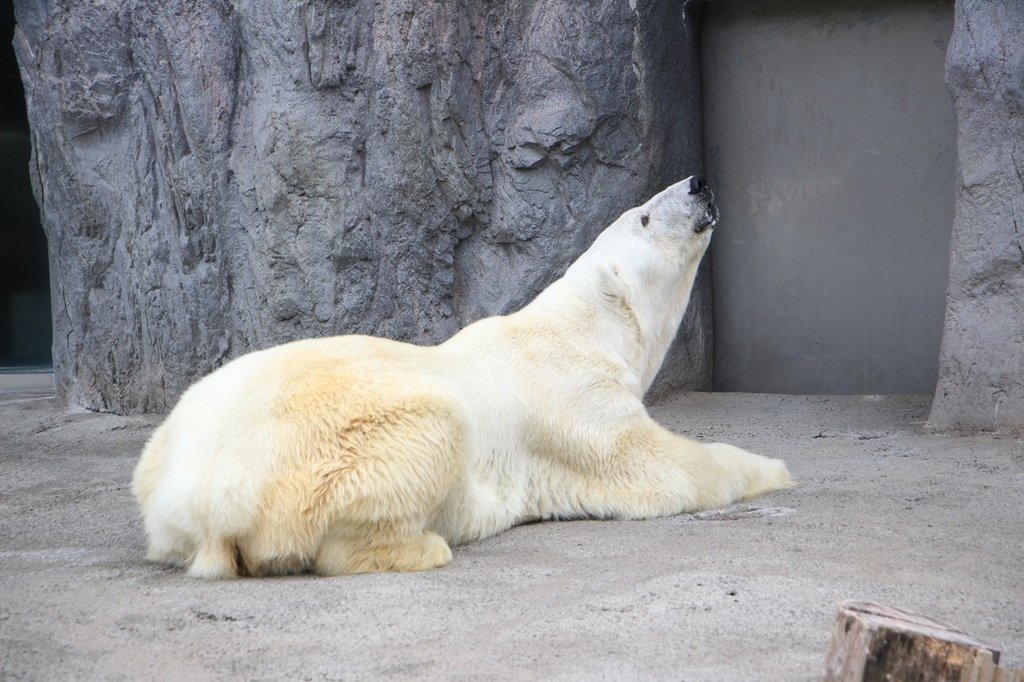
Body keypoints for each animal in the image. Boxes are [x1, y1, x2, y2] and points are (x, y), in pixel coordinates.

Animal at [134, 175, 790, 573]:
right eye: (647, 218)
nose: (700, 182)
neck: (585, 329)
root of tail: (194, 501)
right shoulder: (578, 403)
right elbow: (664, 469)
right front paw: (774, 469)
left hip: (171, 443)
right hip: (325, 453)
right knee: (428, 433)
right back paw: (425, 546)